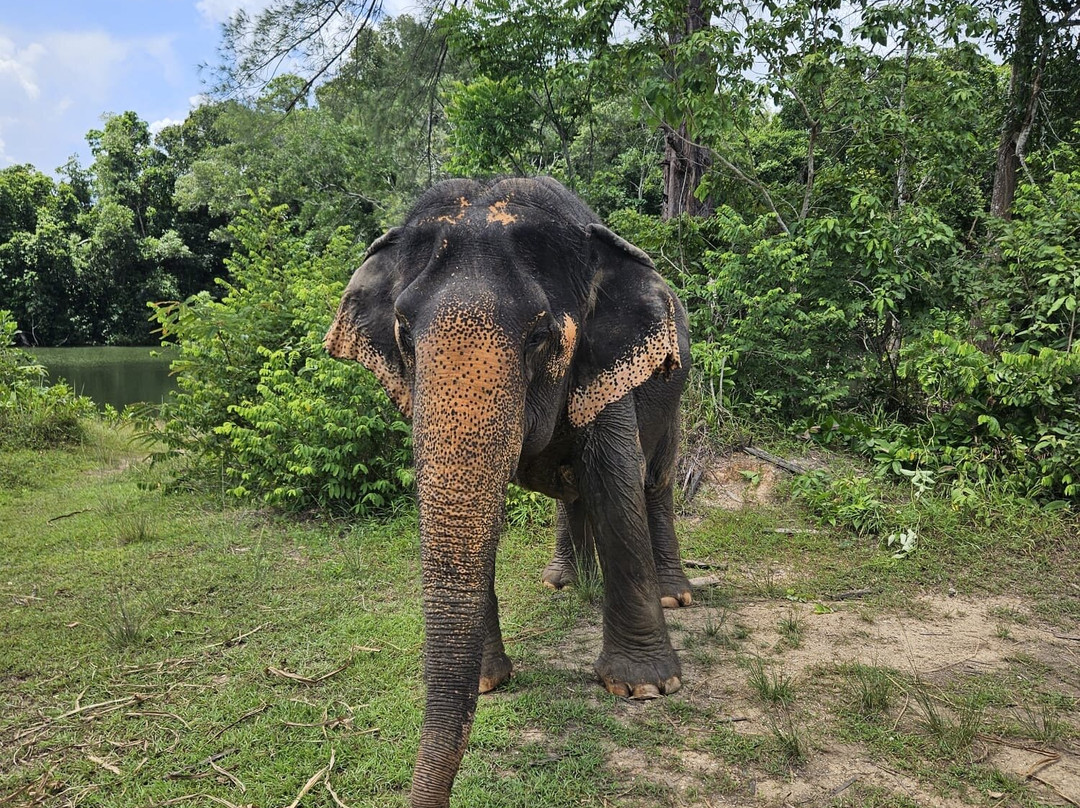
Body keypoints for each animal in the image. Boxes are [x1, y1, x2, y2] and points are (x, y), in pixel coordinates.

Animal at [325, 176, 692, 808]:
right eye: (403, 334)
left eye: (540, 335)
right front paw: (487, 682)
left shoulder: (608, 372)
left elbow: (616, 486)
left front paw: (643, 688)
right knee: (574, 492)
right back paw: (564, 583)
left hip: (676, 394)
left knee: (655, 482)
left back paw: (675, 595)